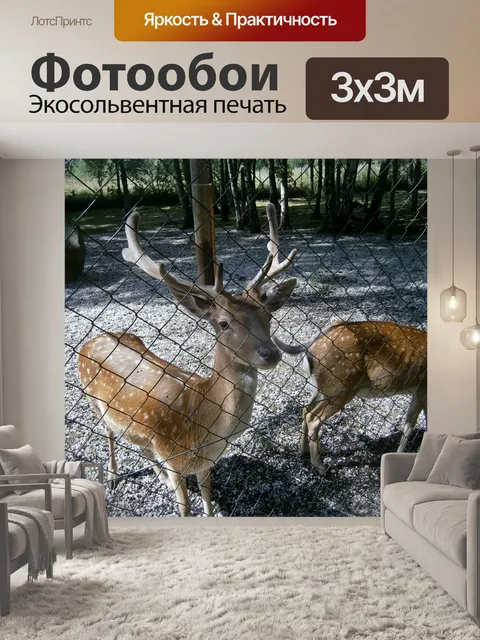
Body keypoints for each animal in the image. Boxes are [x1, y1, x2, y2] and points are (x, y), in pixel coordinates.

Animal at [78, 204, 298, 516]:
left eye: (268, 315)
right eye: (223, 323)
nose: (270, 353)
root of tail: (93, 338)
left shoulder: (205, 464)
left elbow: (207, 497)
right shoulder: (173, 456)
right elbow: (184, 507)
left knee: (137, 443)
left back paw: (157, 476)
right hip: (91, 399)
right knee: (108, 432)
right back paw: (113, 475)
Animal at [273, 321, 427, 473]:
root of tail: (310, 347)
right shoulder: (422, 388)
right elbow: (412, 425)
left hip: (320, 388)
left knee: (306, 409)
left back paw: (303, 450)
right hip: (340, 387)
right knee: (313, 417)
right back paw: (319, 465)